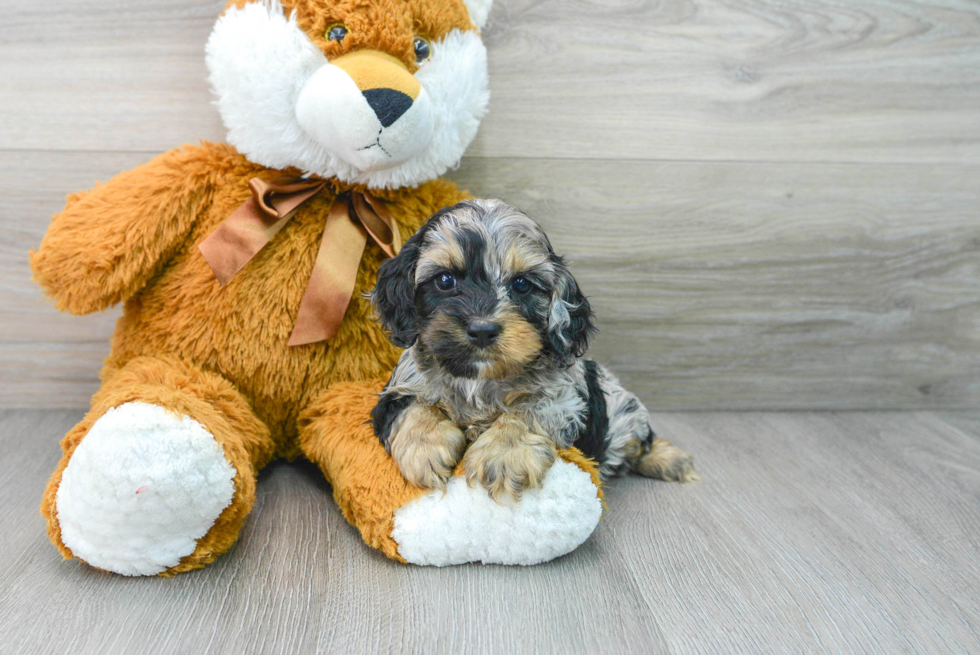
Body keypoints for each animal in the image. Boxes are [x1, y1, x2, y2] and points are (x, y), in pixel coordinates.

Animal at [368, 199, 696, 502]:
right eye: (445, 280)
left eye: (522, 285)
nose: (482, 329)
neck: (480, 377)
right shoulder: (398, 388)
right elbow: (415, 407)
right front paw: (425, 450)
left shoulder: (564, 400)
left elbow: (528, 410)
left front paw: (502, 457)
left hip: (624, 412)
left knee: (642, 441)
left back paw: (670, 460)